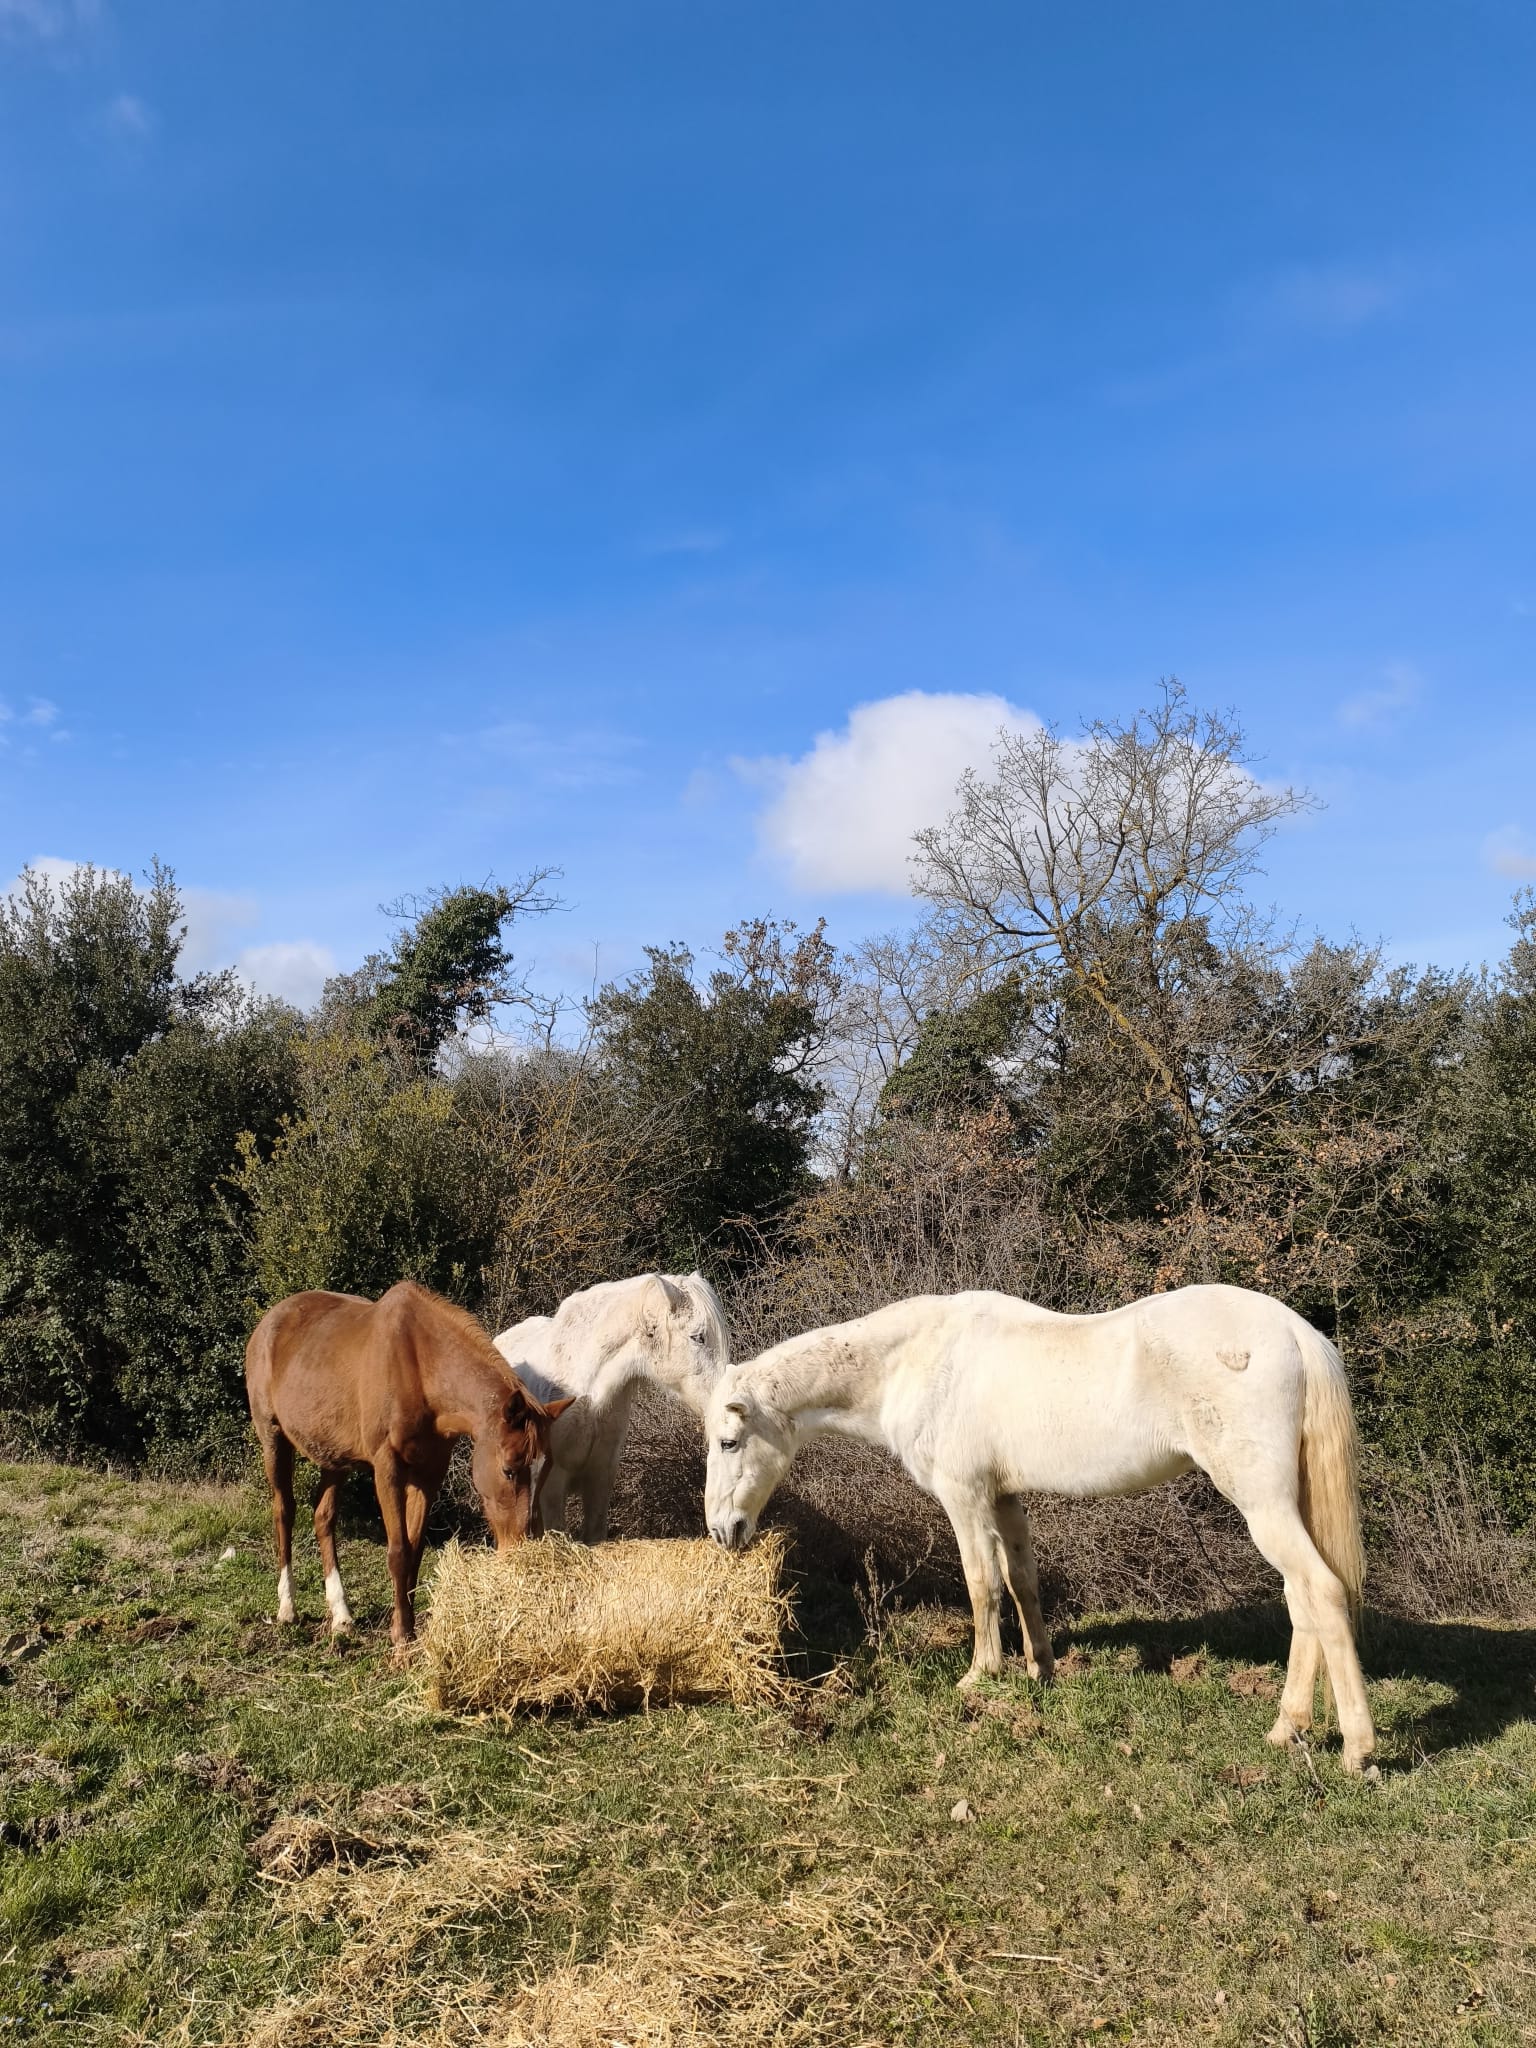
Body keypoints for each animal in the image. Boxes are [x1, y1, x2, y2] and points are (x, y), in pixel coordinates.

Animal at [245, 1280, 574, 1648]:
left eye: (545, 1470)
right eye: (509, 1470)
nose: (520, 1551)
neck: (418, 1366)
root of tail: (270, 1321)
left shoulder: (429, 1473)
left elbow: (415, 1550)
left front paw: (411, 1628)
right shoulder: (388, 1469)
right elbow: (399, 1551)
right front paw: (401, 1636)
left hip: (333, 1456)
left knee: (323, 1518)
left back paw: (341, 1614)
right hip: (273, 1438)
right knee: (284, 1511)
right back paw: (287, 1607)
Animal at [704, 1283, 1375, 1771]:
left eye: (729, 1441)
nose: (721, 1530)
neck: (917, 1360)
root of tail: (1294, 1331)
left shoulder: (966, 1496)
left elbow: (981, 1584)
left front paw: (981, 1675)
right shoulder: (1004, 1498)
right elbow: (1022, 1581)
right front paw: (1040, 1670)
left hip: (1260, 1502)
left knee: (1321, 1592)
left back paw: (1357, 1749)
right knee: (1302, 1601)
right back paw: (1287, 1728)